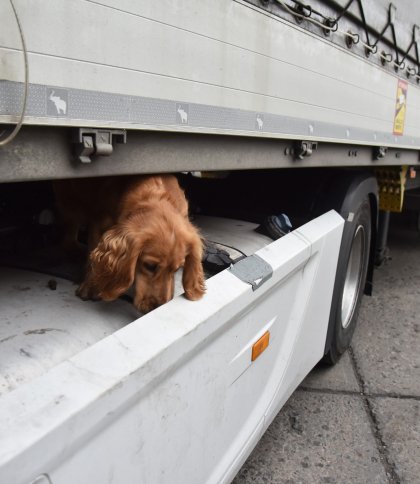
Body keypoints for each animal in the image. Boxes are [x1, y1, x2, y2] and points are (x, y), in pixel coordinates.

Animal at [54, 175, 205, 314]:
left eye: (177, 269)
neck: (156, 197)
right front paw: (91, 286)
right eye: (149, 266)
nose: (157, 308)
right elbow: (92, 258)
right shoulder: (98, 224)